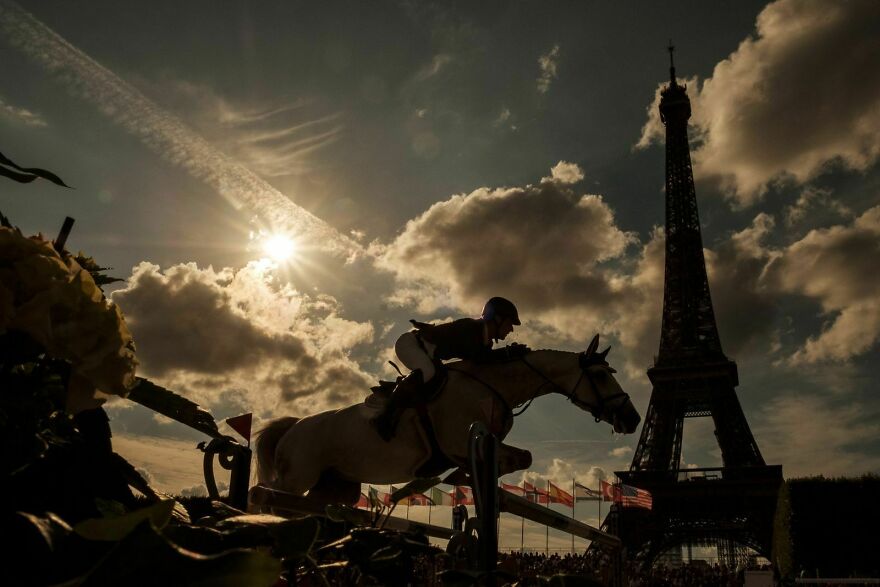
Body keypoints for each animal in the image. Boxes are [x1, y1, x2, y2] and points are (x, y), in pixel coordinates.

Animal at [254, 336, 640, 506]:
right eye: (601, 376)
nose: (632, 418)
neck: (492, 385)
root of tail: (293, 427)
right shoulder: (456, 442)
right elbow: (509, 458)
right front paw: (464, 476)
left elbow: (523, 457)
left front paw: (465, 478)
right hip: (296, 478)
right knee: (262, 493)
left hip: (334, 485)